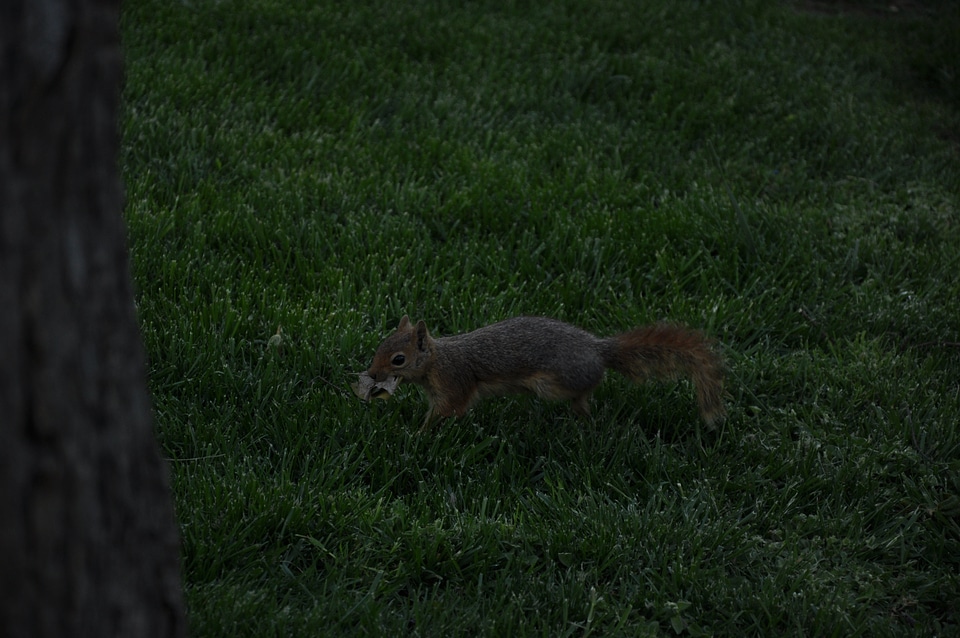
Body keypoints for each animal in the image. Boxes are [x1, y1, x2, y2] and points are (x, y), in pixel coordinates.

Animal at [364, 316, 724, 432]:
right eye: (379, 345)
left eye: (398, 359)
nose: (372, 374)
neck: (437, 360)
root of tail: (598, 350)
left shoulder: (454, 383)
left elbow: (448, 409)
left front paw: (419, 434)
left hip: (552, 384)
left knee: (583, 392)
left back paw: (583, 415)